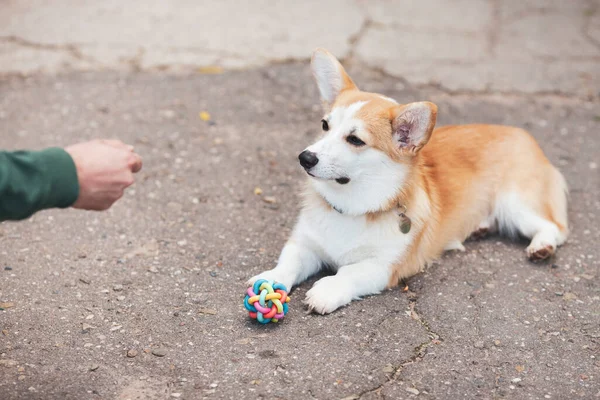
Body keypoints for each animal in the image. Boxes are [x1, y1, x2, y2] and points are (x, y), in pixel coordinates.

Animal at [247, 48, 568, 314]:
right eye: (325, 125)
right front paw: (271, 279)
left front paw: (327, 290)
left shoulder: (384, 266)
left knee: (555, 227)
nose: (305, 158)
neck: (351, 206)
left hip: (516, 204)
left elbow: (349, 272)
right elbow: (289, 261)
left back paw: (542, 246)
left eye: (355, 140)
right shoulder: (305, 244)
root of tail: (523, 134)